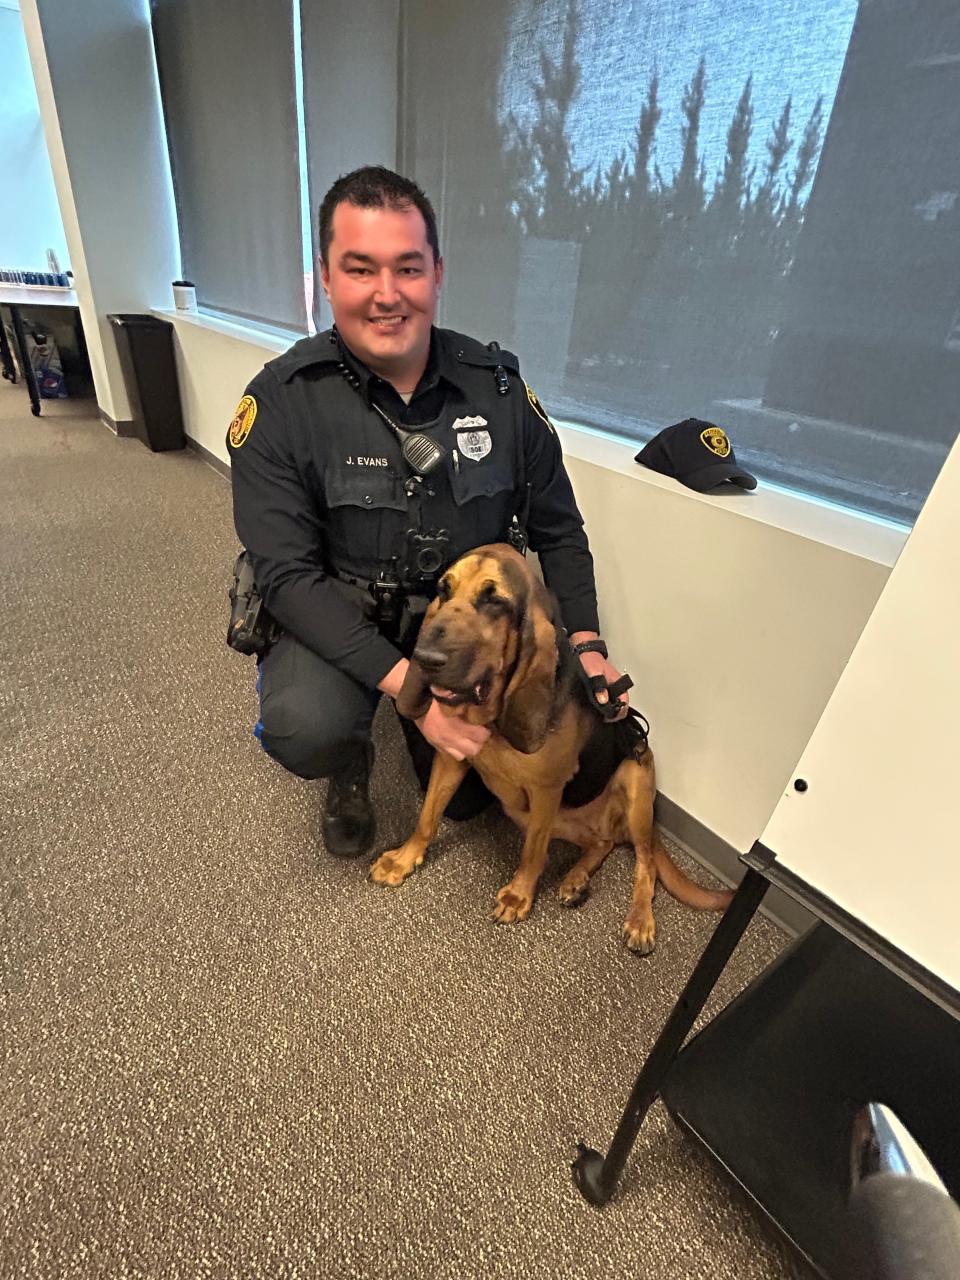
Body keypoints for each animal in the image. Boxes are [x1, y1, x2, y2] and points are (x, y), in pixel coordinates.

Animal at [371, 540, 732, 952]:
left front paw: (518, 895)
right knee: (602, 843)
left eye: (495, 602)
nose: (425, 659)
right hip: (532, 813)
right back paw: (576, 880)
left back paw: (640, 920)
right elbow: (427, 818)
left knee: (645, 863)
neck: (493, 716)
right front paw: (404, 859)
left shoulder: (546, 789)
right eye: (444, 590)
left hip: (636, 787)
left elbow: (533, 852)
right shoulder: (450, 757)